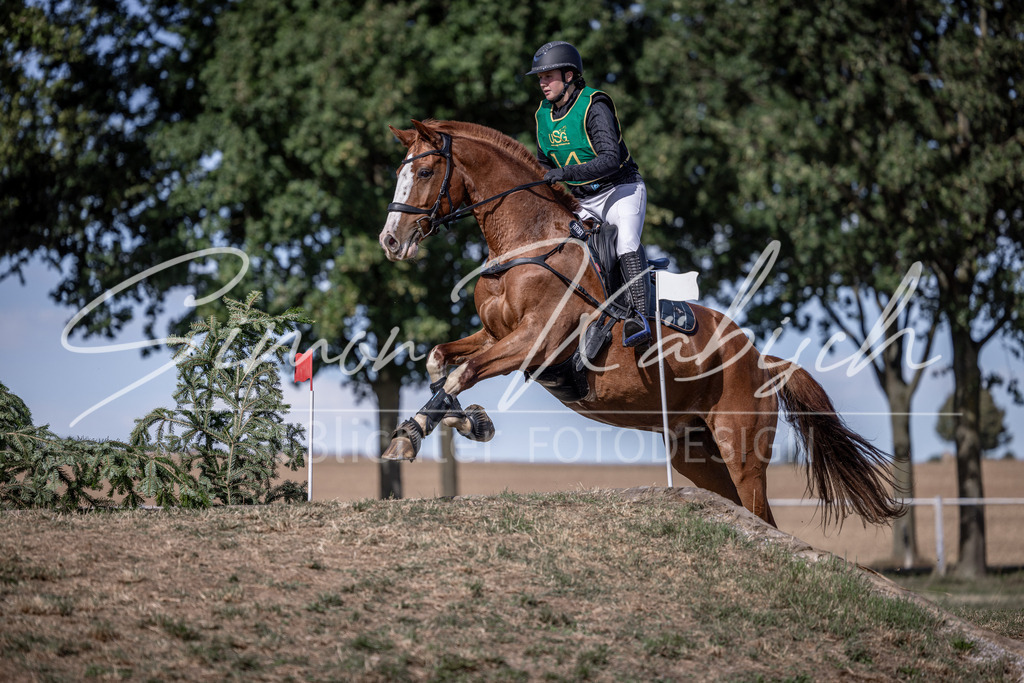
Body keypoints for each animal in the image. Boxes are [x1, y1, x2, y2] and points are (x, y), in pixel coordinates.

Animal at [377, 118, 903, 528]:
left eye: (425, 171)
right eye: (400, 173)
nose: (390, 241)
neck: (527, 243)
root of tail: (762, 361)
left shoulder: (534, 342)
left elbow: (463, 372)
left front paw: (411, 436)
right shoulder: (495, 335)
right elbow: (440, 362)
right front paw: (466, 421)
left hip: (742, 451)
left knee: (760, 510)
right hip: (696, 454)